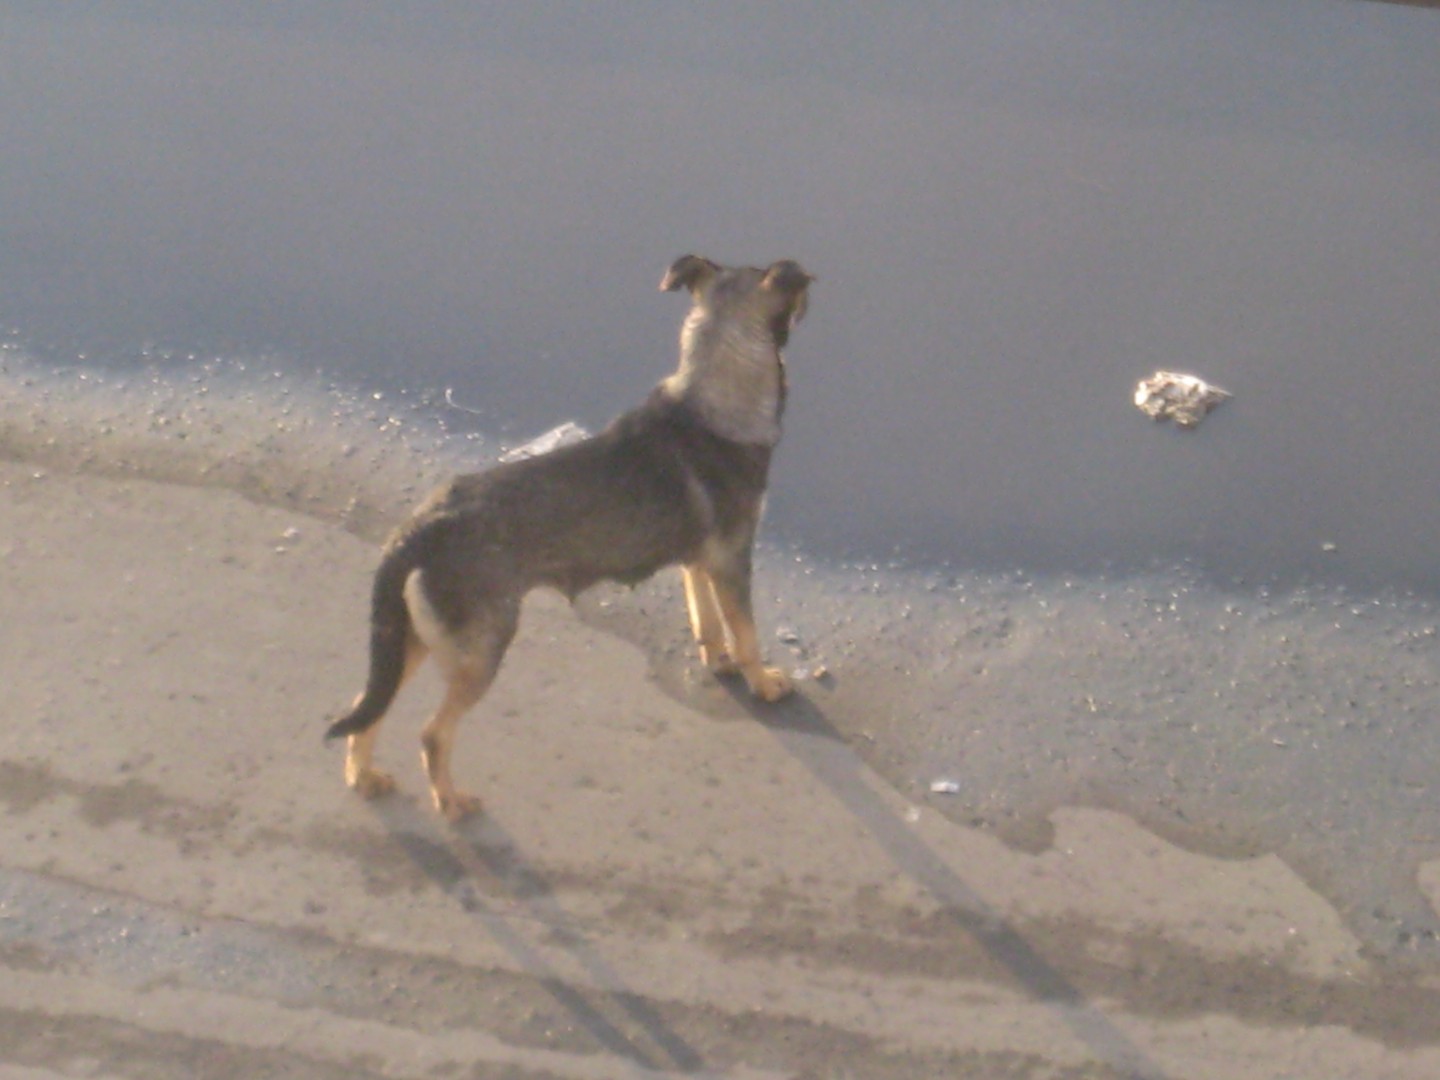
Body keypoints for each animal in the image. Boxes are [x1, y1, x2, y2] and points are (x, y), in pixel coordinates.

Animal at [329, 257, 823, 817]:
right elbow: (747, 635)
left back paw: (363, 776)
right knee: (432, 735)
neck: (714, 394)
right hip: (480, 652)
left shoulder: (698, 562)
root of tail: (416, 531)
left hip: (410, 640)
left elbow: (708, 621)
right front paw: (763, 684)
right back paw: (452, 802)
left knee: (366, 708)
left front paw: (716, 661)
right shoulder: (733, 560)